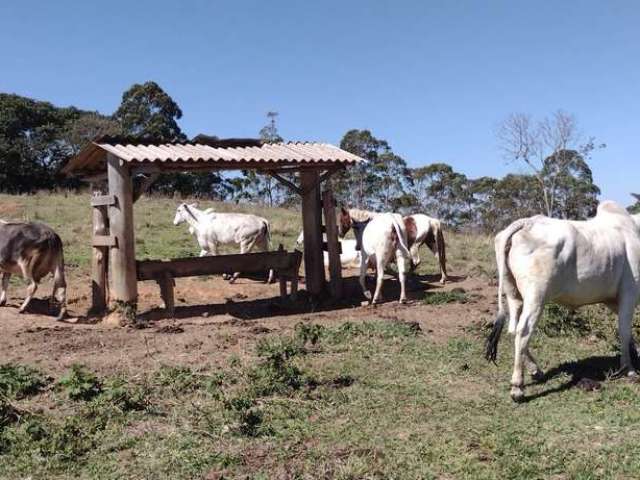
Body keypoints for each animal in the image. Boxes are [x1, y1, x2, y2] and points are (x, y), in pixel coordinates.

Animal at [484, 201, 640, 404]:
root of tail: (527, 222)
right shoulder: (630, 293)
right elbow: (624, 331)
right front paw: (629, 369)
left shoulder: (614, 300)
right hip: (536, 296)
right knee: (523, 331)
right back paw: (517, 387)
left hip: (514, 295)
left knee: (514, 329)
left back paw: (536, 370)